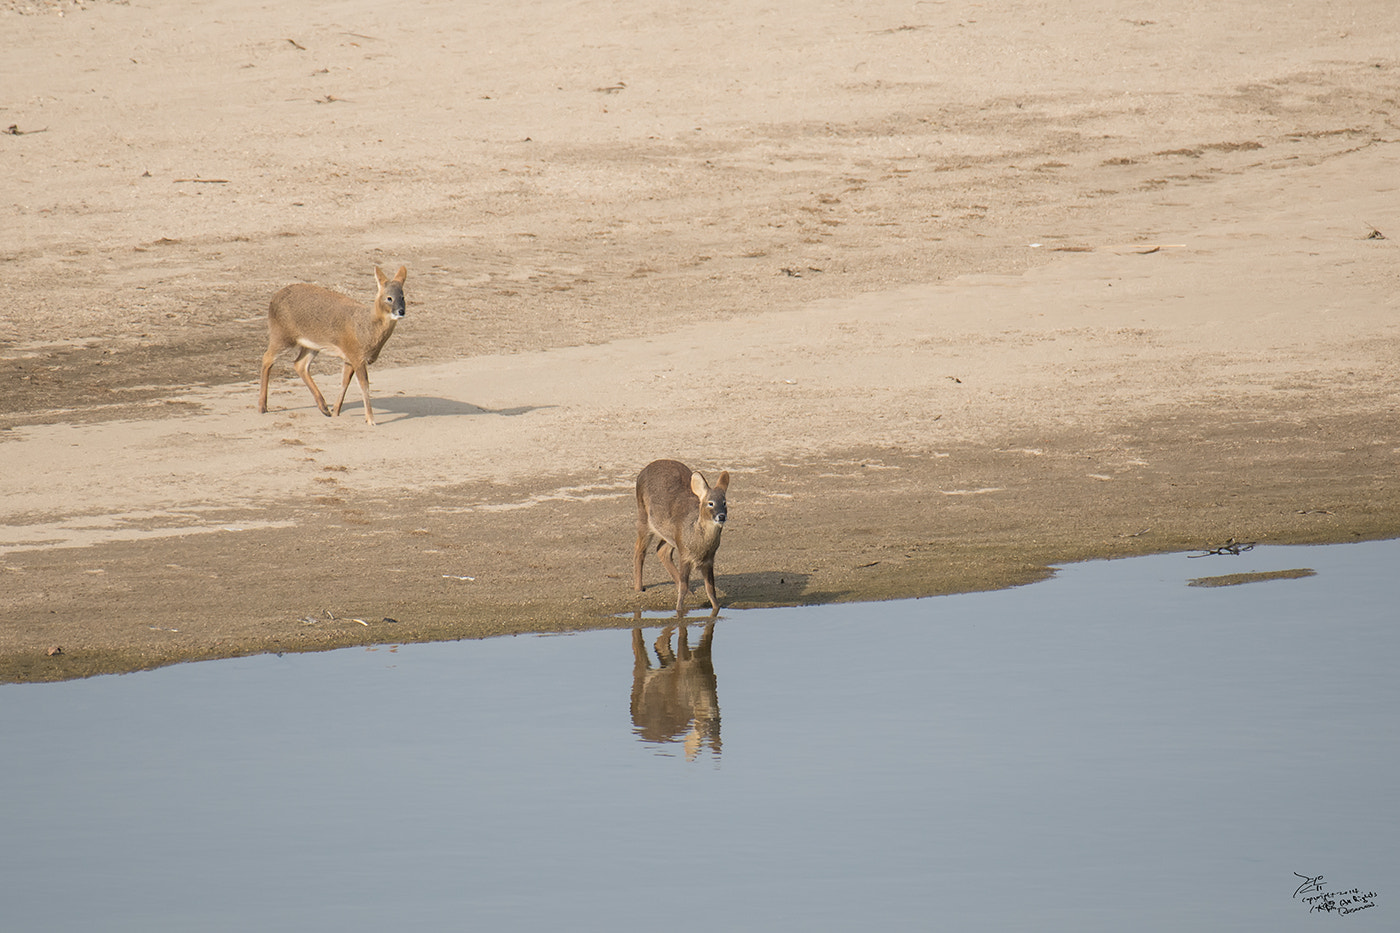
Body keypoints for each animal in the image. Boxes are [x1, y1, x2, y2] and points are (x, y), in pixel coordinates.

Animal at [259, 264, 408, 425]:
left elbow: (344, 383)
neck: (368, 329)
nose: (401, 311)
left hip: (311, 344)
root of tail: (274, 298)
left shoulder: (349, 357)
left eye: (403, 297)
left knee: (300, 365)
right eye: (389, 298)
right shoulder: (357, 355)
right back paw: (262, 406)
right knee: (267, 358)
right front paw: (370, 419)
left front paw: (336, 411)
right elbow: (364, 386)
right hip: (282, 334)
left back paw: (324, 408)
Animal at [635, 456, 733, 610]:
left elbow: (710, 590)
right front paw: (679, 609)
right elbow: (684, 587)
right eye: (710, 503)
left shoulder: (709, 560)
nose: (721, 516)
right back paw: (639, 588)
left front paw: (716, 608)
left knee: (661, 550)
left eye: (724, 502)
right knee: (639, 550)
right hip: (643, 515)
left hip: (671, 535)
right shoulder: (684, 555)